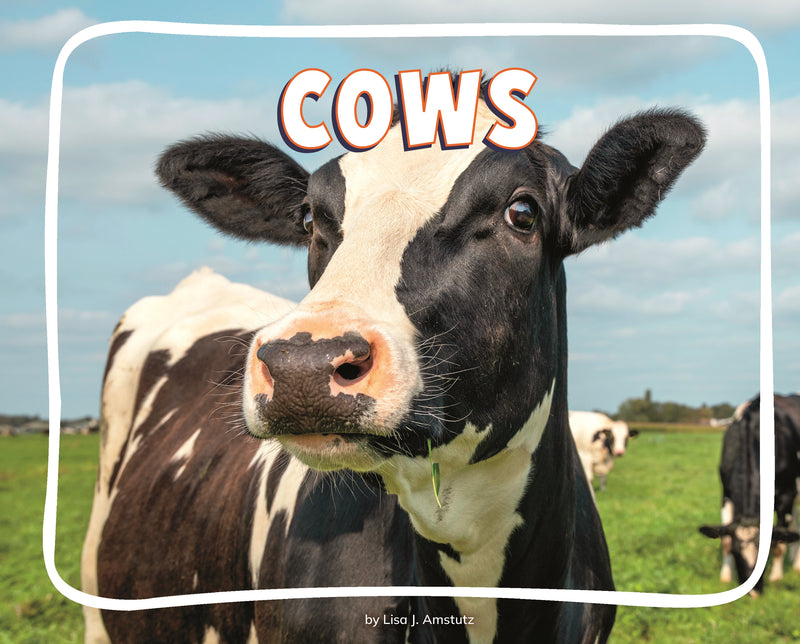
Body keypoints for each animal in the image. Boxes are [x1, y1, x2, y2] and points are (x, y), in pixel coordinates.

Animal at [699, 393, 800, 595]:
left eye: (765, 554)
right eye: (736, 553)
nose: (753, 594)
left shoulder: (787, 495)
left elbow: (779, 542)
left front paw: (776, 577)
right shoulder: (727, 494)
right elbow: (725, 540)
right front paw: (725, 577)